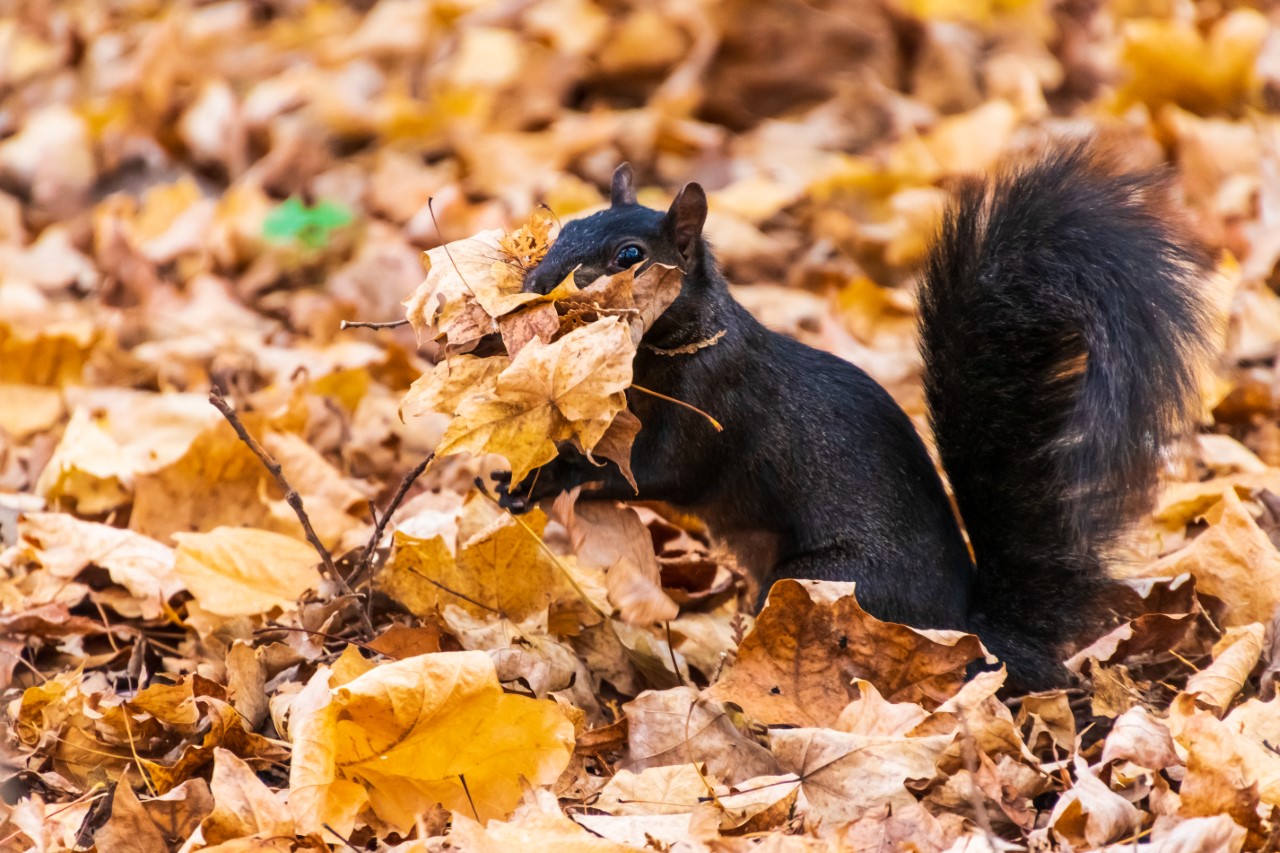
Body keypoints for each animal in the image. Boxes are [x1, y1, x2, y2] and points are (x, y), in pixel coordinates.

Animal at [494, 144, 1213, 691]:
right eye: (566, 228)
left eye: (629, 257)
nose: (535, 282)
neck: (673, 342)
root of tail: (966, 629)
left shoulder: (713, 406)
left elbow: (651, 472)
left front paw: (547, 477)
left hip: (829, 582)